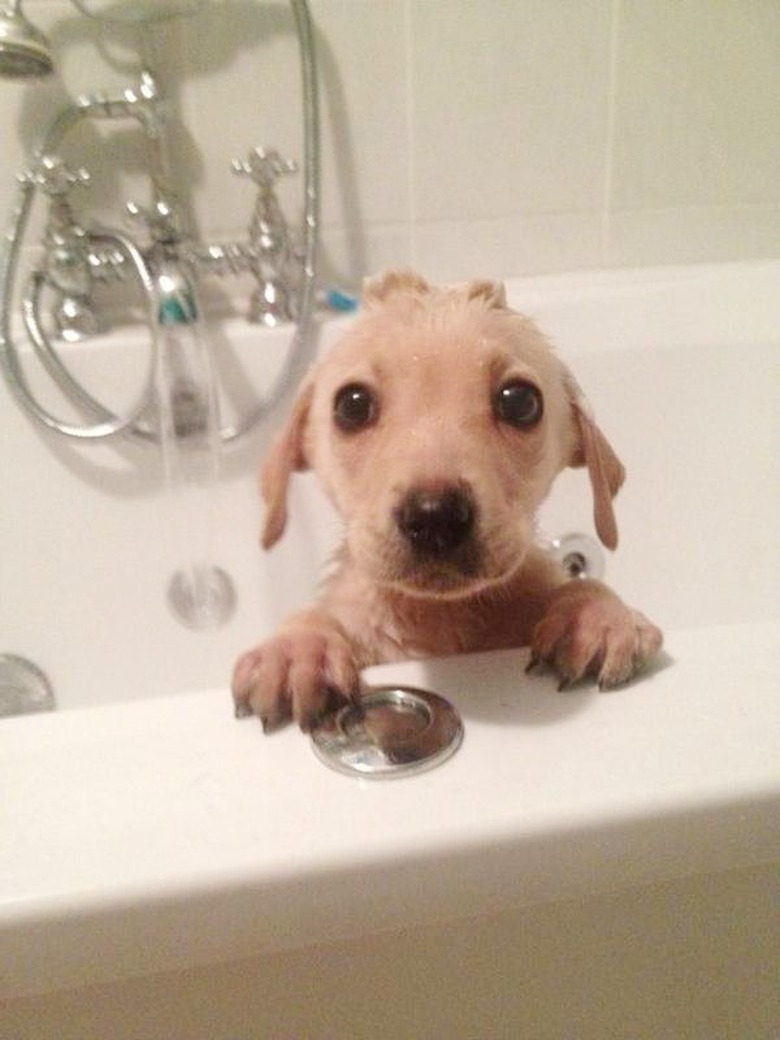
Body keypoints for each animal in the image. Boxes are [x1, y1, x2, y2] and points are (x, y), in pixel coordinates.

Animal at [230, 266, 661, 732]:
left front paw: (597, 613)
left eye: (521, 401)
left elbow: (584, 586)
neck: (438, 615)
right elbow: (319, 614)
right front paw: (296, 647)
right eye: (352, 405)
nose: (435, 517)